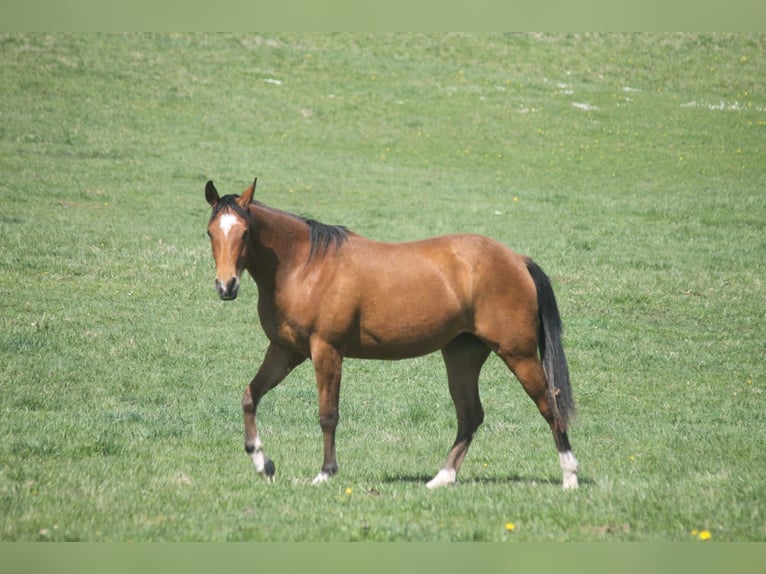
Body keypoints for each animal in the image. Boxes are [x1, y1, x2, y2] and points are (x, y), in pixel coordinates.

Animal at [204, 177, 579, 490]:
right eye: (210, 232)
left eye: (245, 232)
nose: (226, 286)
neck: (305, 265)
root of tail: (516, 259)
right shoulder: (285, 350)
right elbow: (250, 396)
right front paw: (263, 463)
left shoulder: (326, 350)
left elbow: (328, 415)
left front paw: (326, 472)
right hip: (462, 355)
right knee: (470, 415)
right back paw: (442, 478)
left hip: (518, 353)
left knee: (549, 404)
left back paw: (570, 476)